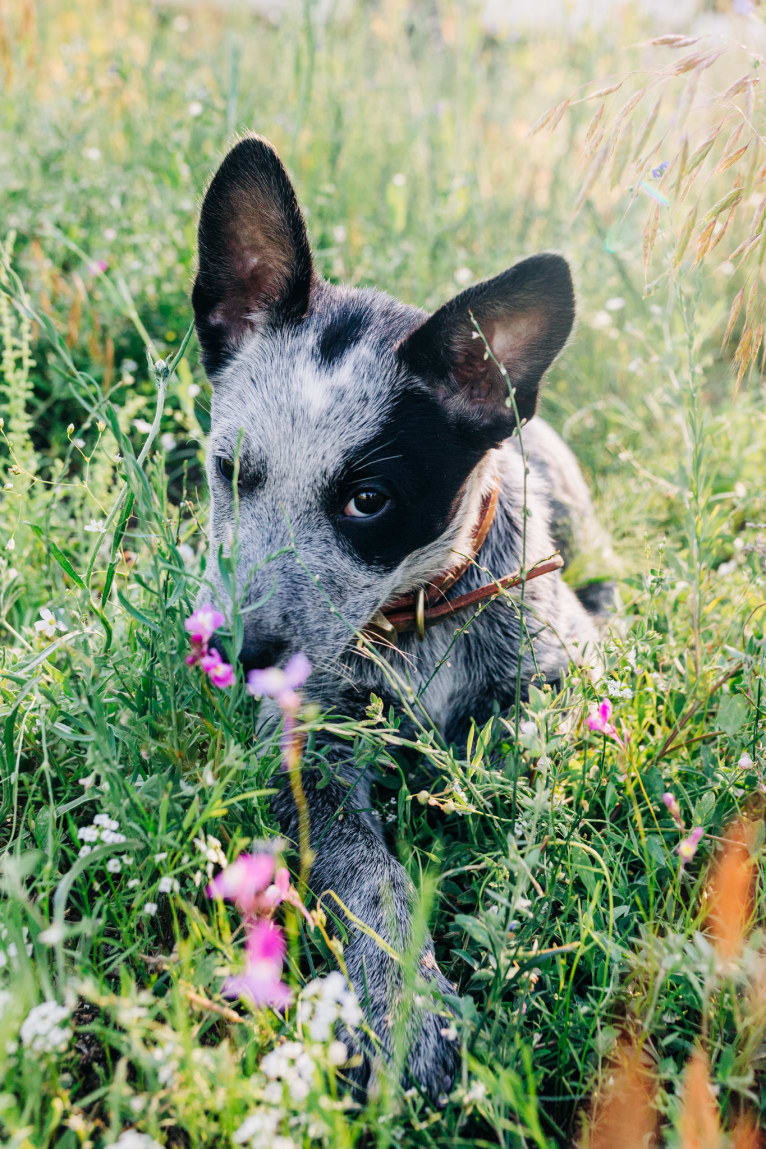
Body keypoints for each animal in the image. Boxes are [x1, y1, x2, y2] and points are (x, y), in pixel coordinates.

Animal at [191, 136, 610, 1103]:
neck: (414, 615)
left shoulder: (562, 678)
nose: (237, 653)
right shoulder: (309, 745)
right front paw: (408, 1007)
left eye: (369, 500)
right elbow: (364, 871)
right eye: (230, 470)